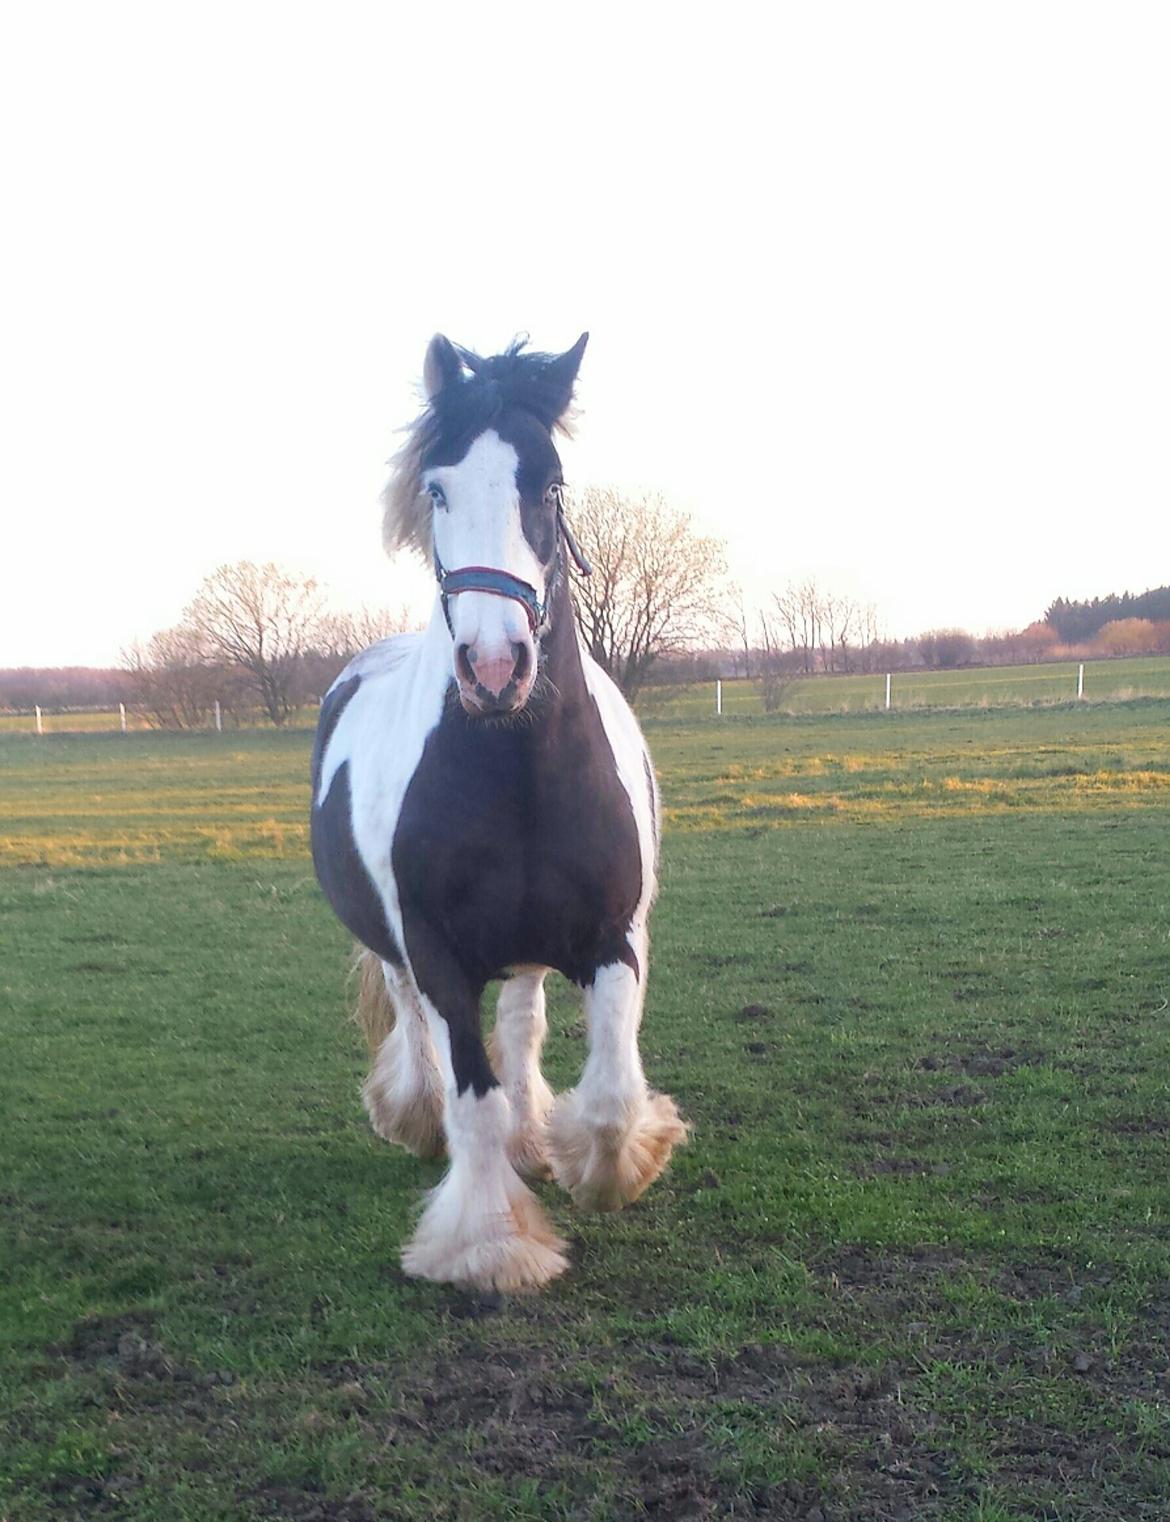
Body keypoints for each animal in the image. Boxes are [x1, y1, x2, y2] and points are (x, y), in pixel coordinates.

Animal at [307, 333, 684, 1284]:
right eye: (438, 488)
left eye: (548, 485)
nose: (493, 665)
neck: (520, 771)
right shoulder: (438, 953)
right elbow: (471, 1096)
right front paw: (489, 1245)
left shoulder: (613, 939)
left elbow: (612, 1095)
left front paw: (602, 1166)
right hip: (401, 951)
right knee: (418, 1026)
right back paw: (417, 1117)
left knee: (521, 1025)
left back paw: (531, 1133)